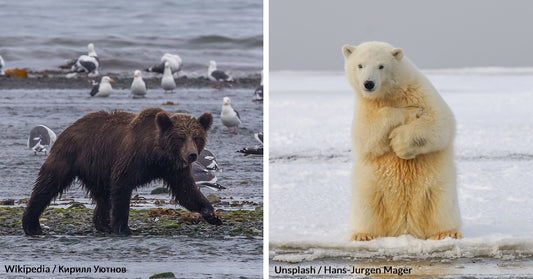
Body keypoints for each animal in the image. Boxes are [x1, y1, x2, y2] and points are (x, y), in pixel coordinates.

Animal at [21, 107, 221, 236]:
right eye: (180, 137)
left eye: (196, 137)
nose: (192, 155)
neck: (156, 154)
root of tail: (69, 127)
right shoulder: (131, 158)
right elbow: (121, 187)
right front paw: (123, 228)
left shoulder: (174, 168)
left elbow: (186, 190)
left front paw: (211, 214)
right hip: (70, 155)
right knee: (48, 184)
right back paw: (32, 225)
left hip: (97, 168)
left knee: (103, 196)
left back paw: (103, 224)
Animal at [342, 41, 460, 241]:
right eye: (360, 65)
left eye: (381, 66)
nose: (369, 84)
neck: (390, 93)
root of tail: (405, 227)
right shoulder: (365, 107)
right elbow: (366, 134)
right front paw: (408, 112)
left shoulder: (420, 91)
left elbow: (440, 121)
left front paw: (400, 142)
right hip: (370, 187)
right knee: (366, 206)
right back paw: (363, 235)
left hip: (438, 186)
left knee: (441, 205)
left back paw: (446, 232)